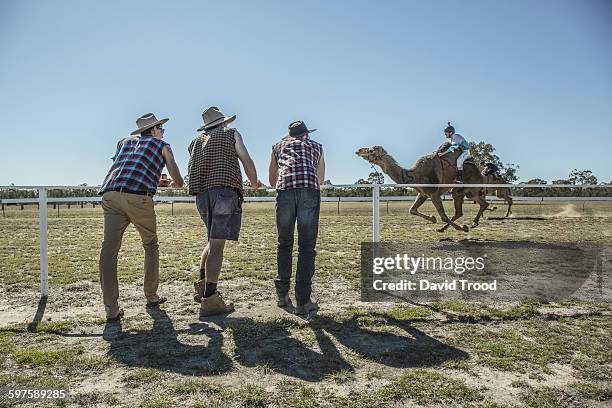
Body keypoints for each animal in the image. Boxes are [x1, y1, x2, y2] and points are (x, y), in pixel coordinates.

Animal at [356, 143, 490, 233]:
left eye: (372, 150)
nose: (358, 150)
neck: (414, 175)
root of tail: (480, 173)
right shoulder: (423, 194)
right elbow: (412, 210)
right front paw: (433, 219)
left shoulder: (434, 194)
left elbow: (443, 216)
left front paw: (462, 228)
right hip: (458, 191)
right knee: (462, 210)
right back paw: (447, 228)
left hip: (471, 189)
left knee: (483, 203)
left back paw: (472, 224)